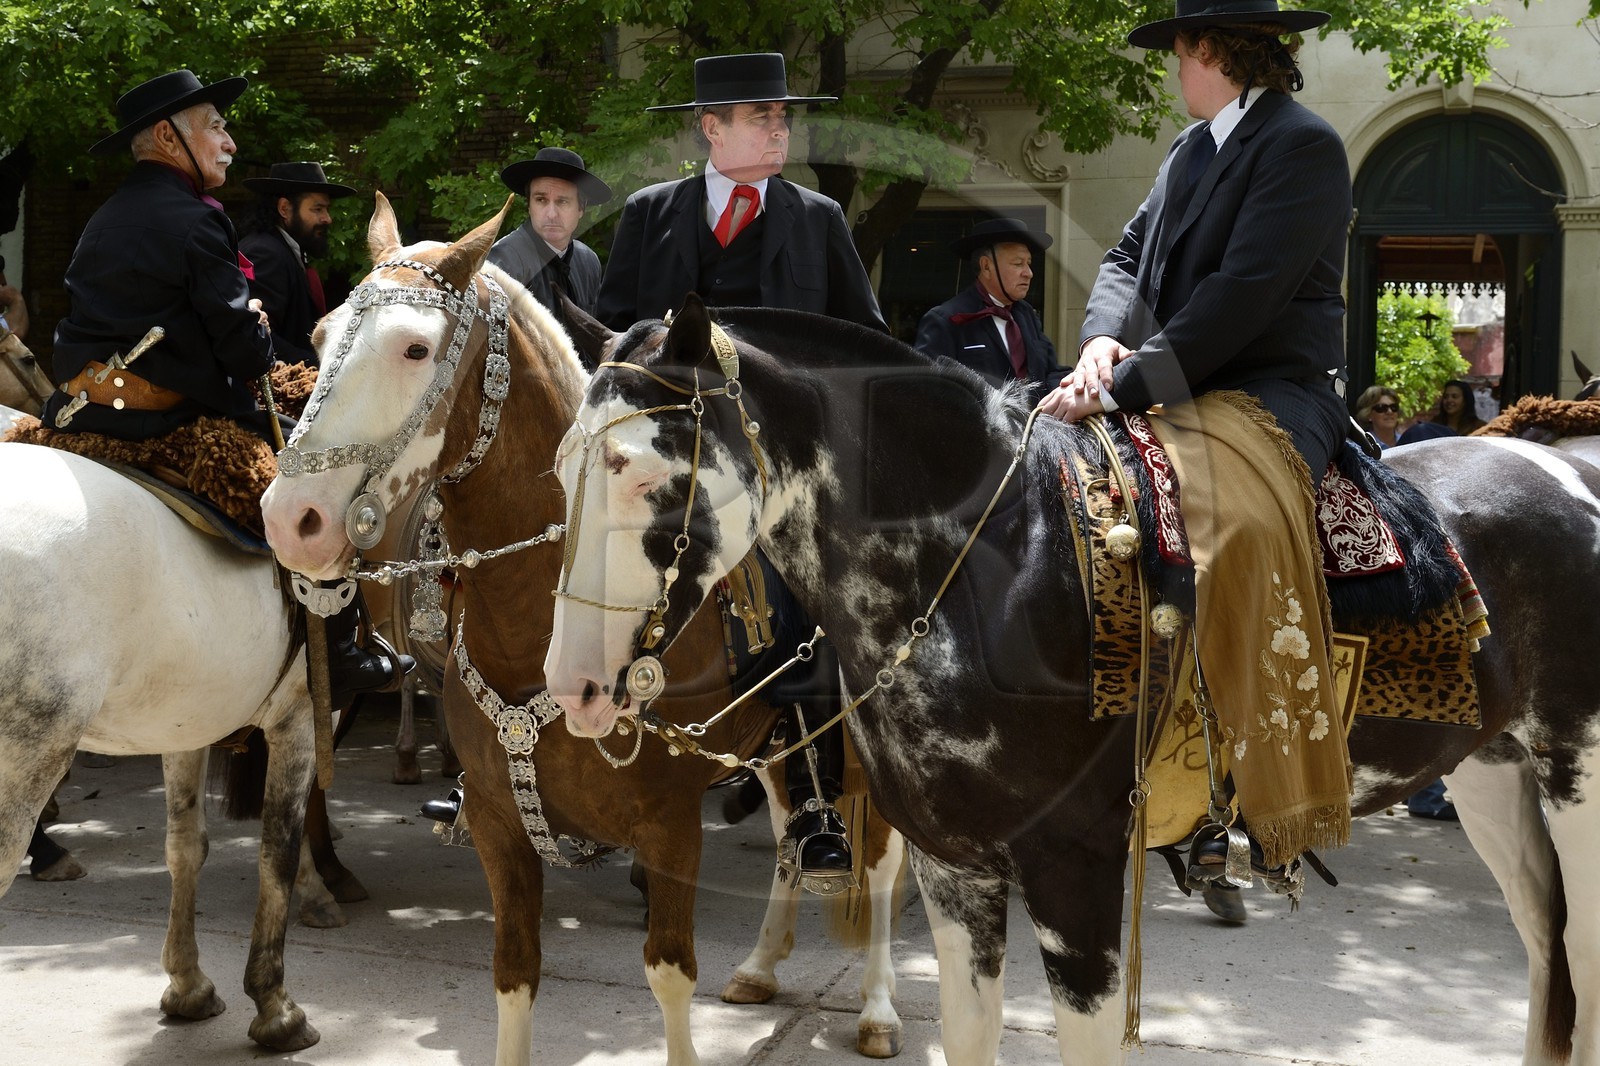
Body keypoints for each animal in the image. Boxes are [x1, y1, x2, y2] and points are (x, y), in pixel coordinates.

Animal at [0, 434, 321, 1049]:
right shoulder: (301, 714)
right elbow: (279, 851)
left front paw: (188, 985)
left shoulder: (185, 721)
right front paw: (276, 1006)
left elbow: (185, 847)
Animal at [258, 193, 906, 1065]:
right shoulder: (499, 825)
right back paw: (763, 963)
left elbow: (670, 976)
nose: (292, 518)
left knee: (882, 862)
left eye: (416, 348)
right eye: (323, 337)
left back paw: (877, 1007)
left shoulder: (669, 827)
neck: (537, 629)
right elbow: (514, 974)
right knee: (785, 830)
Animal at [543, 296, 1600, 1066]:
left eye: (643, 472)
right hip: (1494, 778)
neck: (994, 565)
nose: (576, 687)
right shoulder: (957, 874)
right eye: (562, 468)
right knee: (1548, 957)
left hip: (1577, 782)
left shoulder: (1076, 876)